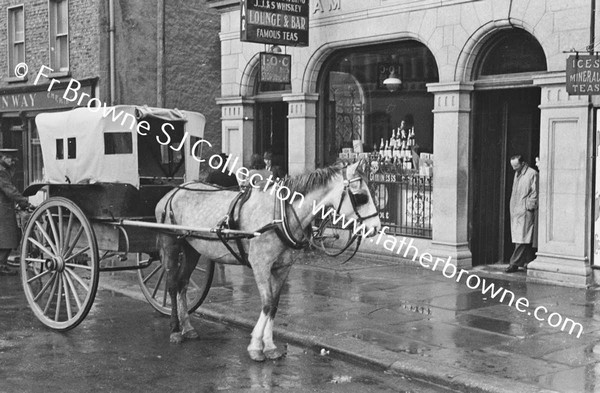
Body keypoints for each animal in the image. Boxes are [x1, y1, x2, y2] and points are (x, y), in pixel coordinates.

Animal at [155, 158, 380, 360]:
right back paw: (175, 329)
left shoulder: (282, 267)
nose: (376, 228)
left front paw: (270, 346)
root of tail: (173, 192)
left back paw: (187, 327)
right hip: (171, 243)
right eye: (361, 197)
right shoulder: (260, 265)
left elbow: (274, 305)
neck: (281, 213)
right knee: (172, 285)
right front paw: (256, 346)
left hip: (191, 248)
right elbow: (266, 303)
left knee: (183, 284)